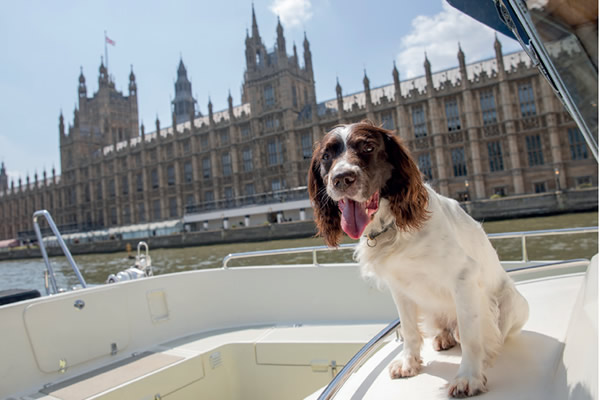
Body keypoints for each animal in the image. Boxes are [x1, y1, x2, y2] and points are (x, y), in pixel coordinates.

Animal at [308, 121, 528, 396]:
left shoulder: (464, 276)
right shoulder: (400, 286)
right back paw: (444, 337)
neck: (392, 226)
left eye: (368, 147)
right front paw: (409, 363)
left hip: (510, 301)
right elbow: (410, 329)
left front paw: (469, 377)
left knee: (492, 332)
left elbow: (470, 335)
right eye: (326, 156)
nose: (341, 178)